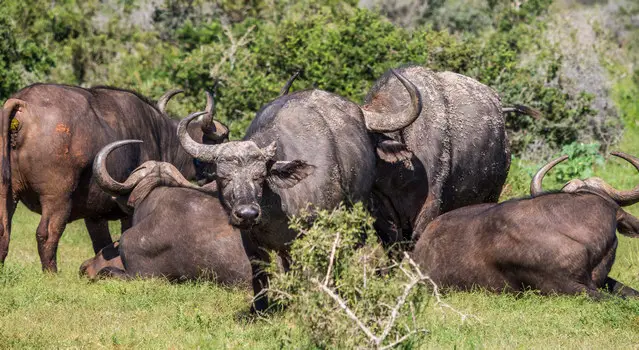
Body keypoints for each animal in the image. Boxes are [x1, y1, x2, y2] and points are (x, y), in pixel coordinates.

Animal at [0, 85, 228, 270]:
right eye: (222, 138)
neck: (160, 136)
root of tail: (23, 104)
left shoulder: (94, 215)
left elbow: (102, 243)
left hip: (8, 192)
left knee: (4, 230)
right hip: (57, 198)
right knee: (47, 234)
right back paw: (52, 274)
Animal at [178, 70, 422, 308]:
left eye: (260, 177)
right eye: (224, 177)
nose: (247, 213)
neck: (275, 207)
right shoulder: (251, 241)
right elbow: (260, 274)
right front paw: (260, 309)